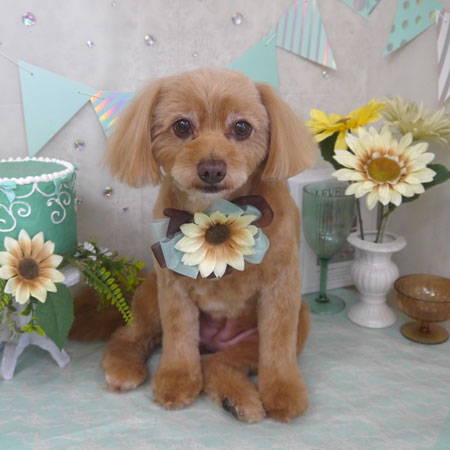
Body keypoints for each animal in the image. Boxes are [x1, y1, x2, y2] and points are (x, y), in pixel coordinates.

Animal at [100, 68, 317, 422]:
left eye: (242, 127)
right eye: (181, 126)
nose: (212, 168)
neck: (217, 211)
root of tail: (216, 343)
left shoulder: (282, 287)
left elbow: (279, 344)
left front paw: (283, 392)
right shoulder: (172, 287)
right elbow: (178, 338)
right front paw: (176, 382)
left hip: (282, 325)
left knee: (217, 362)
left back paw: (238, 400)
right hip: (150, 296)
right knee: (131, 336)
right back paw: (124, 369)